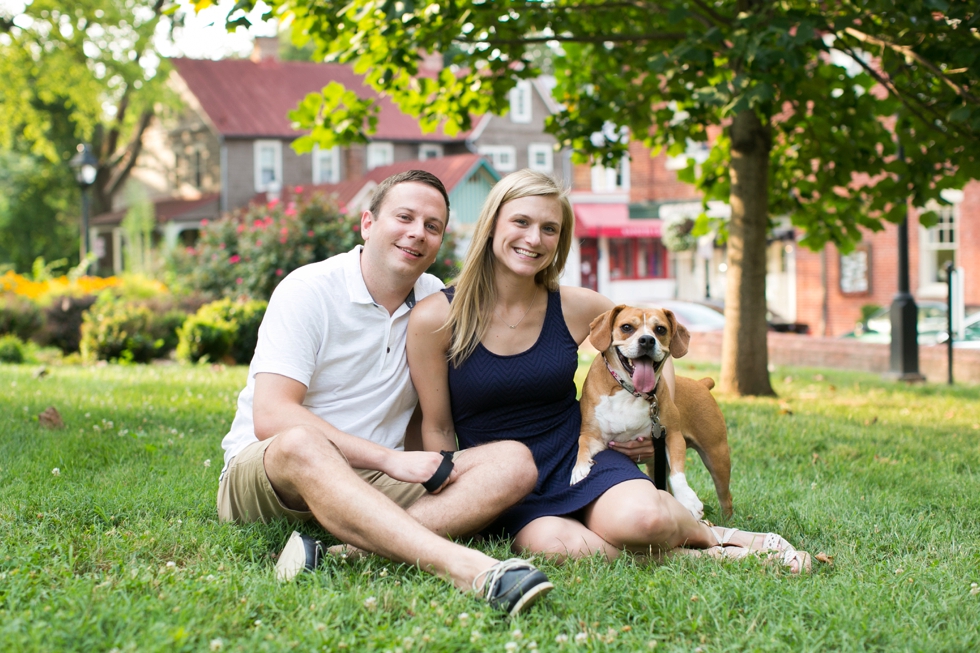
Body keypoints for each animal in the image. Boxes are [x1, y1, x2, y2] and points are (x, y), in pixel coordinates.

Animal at [580, 304, 732, 516]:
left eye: (660, 329)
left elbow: (678, 474)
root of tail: (702, 383)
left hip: (717, 456)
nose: (647, 340)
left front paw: (687, 499)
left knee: (726, 497)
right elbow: (583, 445)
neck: (631, 392)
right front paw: (578, 470)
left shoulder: (673, 437)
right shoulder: (594, 436)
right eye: (627, 327)